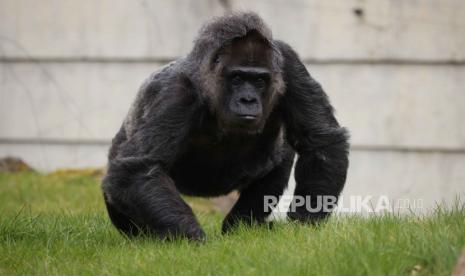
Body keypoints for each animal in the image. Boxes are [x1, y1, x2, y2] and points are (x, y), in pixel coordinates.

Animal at [101, 12, 348, 242]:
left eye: (259, 80)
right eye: (237, 78)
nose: (248, 100)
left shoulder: (288, 63)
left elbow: (320, 140)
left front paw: (305, 222)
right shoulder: (177, 90)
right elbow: (138, 168)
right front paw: (191, 237)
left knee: (281, 159)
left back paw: (242, 227)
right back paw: (145, 237)